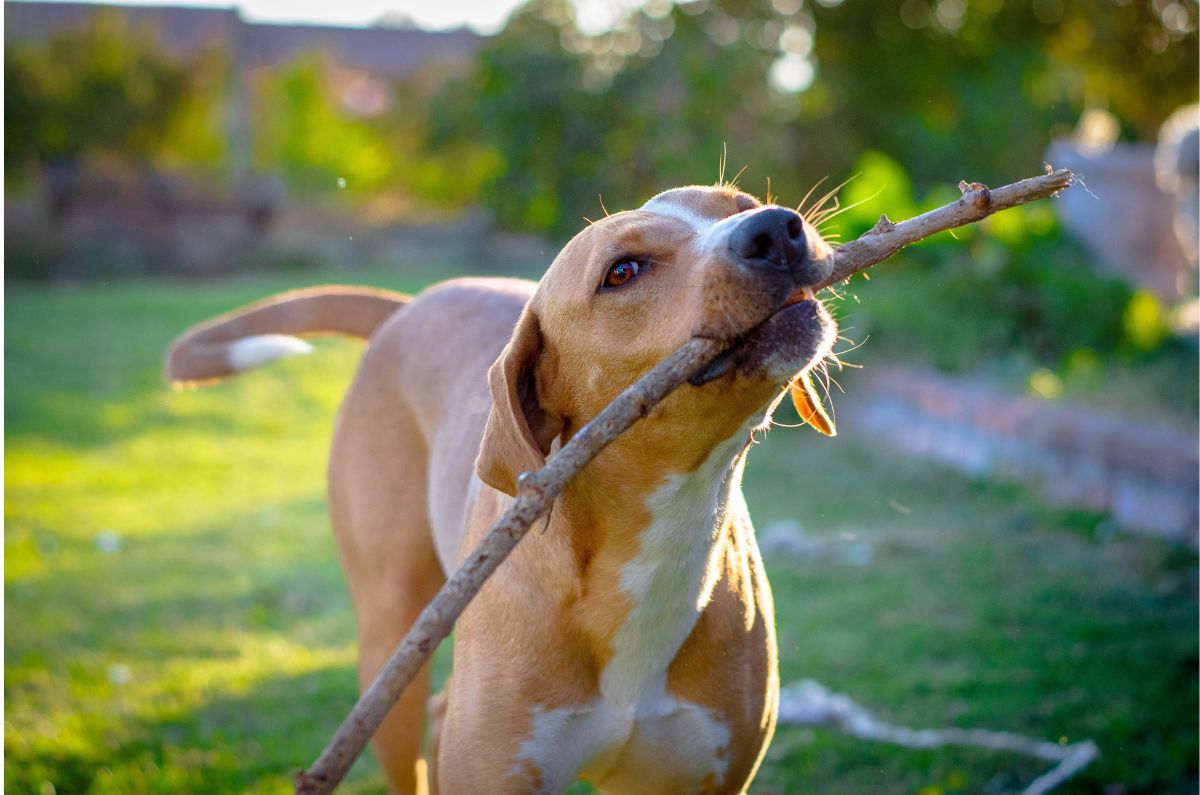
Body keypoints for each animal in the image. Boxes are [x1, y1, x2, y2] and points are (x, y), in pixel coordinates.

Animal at [166, 183, 835, 792]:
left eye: (742, 203)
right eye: (623, 271)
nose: (775, 229)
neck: (657, 540)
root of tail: (410, 305)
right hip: (391, 644)